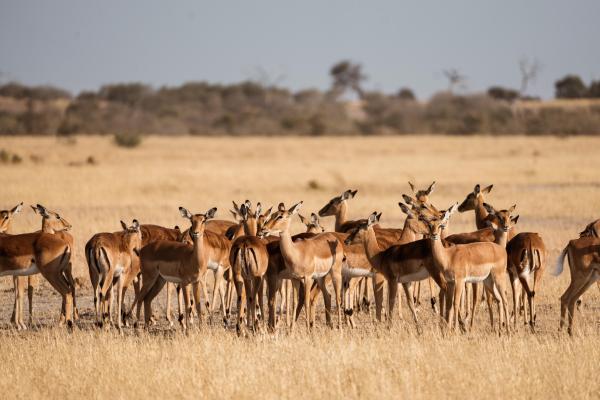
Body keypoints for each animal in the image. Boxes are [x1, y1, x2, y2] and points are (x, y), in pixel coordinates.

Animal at [260, 203, 344, 332]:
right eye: (272, 214)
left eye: (280, 216)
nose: (264, 229)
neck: (297, 253)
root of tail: (333, 237)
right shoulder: (295, 279)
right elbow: (295, 303)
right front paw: (291, 330)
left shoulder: (307, 278)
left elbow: (306, 301)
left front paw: (308, 330)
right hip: (320, 278)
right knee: (328, 295)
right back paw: (329, 326)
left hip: (335, 273)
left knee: (338, 298)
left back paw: (339, 327)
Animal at [418, 206, 510, 334]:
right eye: (430, 225)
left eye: (440, 225)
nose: (434, 235)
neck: (448, 256)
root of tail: (501, 249)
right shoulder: (450, 282)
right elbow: (449, 304)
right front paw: (449, 330)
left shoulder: (460, 281)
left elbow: (455, 303)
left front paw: (455, 330)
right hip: (488, 281)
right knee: (499, 299)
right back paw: (500, 331)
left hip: (499, 278)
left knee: (505, 300)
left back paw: (508, 331)